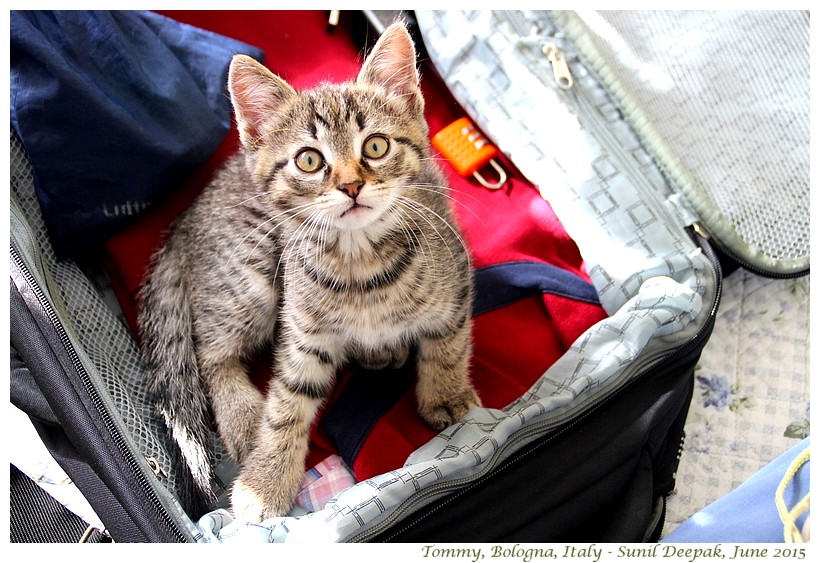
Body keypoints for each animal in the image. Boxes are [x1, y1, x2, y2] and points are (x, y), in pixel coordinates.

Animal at [137, 23, 478, 524]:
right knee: (208, 352)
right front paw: (265, 481)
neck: (361, 266)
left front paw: (446, 395)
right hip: (251, 270)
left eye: (376, 146)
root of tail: (185, 218)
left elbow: (447, 345)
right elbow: (287, 403)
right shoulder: (303, 335)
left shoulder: (455, 280)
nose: (351, 185)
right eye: (309, 160)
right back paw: (244, 420)